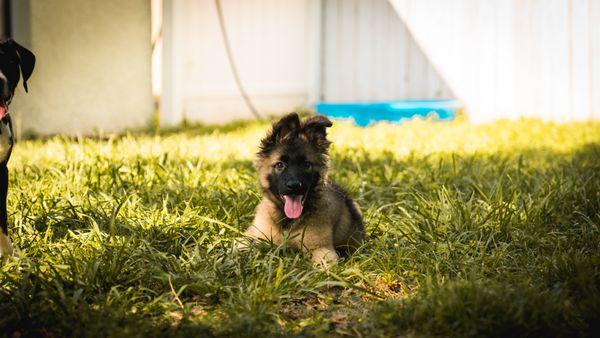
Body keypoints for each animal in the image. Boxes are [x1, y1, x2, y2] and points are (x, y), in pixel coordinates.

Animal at [240, 113, 364, 266]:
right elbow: (240, 243)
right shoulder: (255, 233)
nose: (294, 186)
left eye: (307, 164)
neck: (287, 221)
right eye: (280, 165)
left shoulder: (321, 249)